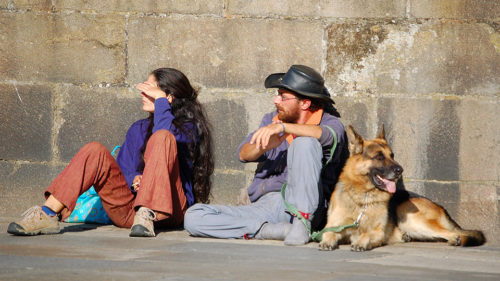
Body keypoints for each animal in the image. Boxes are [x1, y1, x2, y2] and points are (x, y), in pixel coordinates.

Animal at [318, 124, 486, 249]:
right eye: (379, 157)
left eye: (392, 155)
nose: (400, 170)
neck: (363, 197)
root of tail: (441, 207)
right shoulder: (333, 226)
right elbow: (328, 233)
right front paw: (327, 242)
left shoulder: (377, 232)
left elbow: (367, 234)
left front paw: (361, 242)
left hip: (409, 215)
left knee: (455, 234)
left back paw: (454, 239)